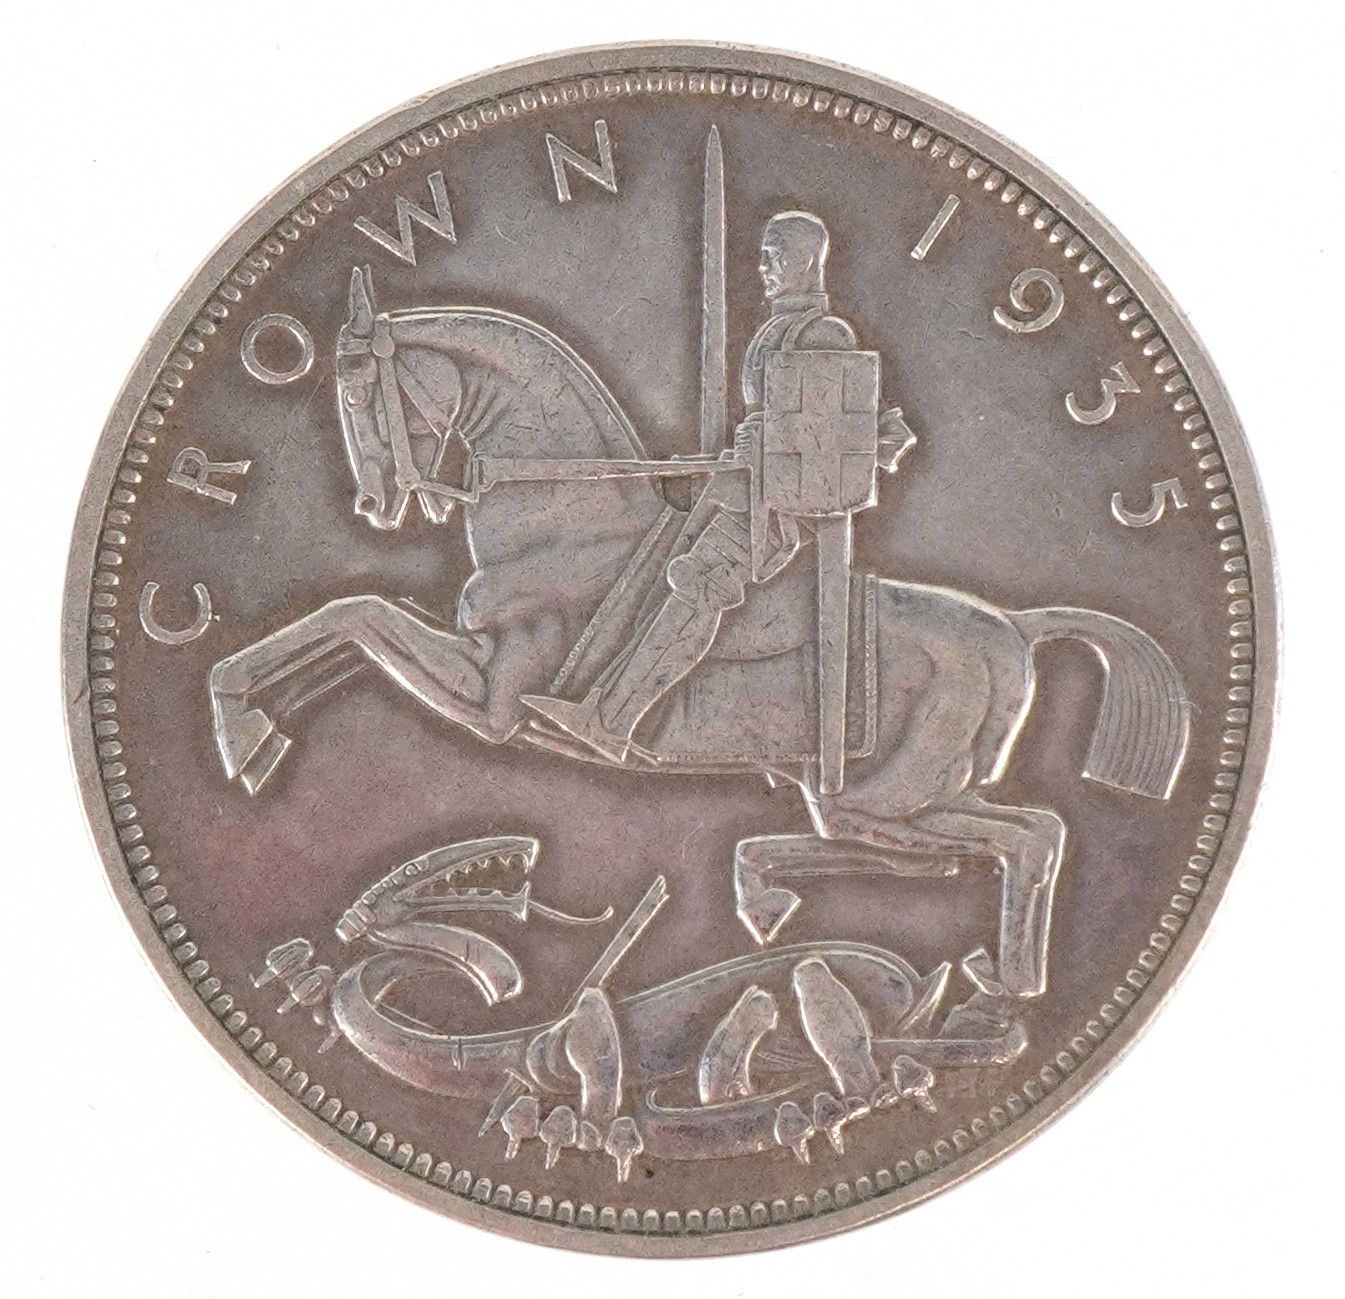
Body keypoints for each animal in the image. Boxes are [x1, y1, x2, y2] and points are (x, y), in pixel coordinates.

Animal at [208, 267, 1190, 1005]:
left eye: (359, 391)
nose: (375, 502)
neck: (567, 519)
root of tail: (1012, 623)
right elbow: (341, 627)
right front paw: (256, 722)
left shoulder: (493, 698)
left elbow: (352, 617)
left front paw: (240, 723)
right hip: (863, 794)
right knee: (968, 846)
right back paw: (786, 896)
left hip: (889, 793)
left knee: (1022, 840)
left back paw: (991, 973)